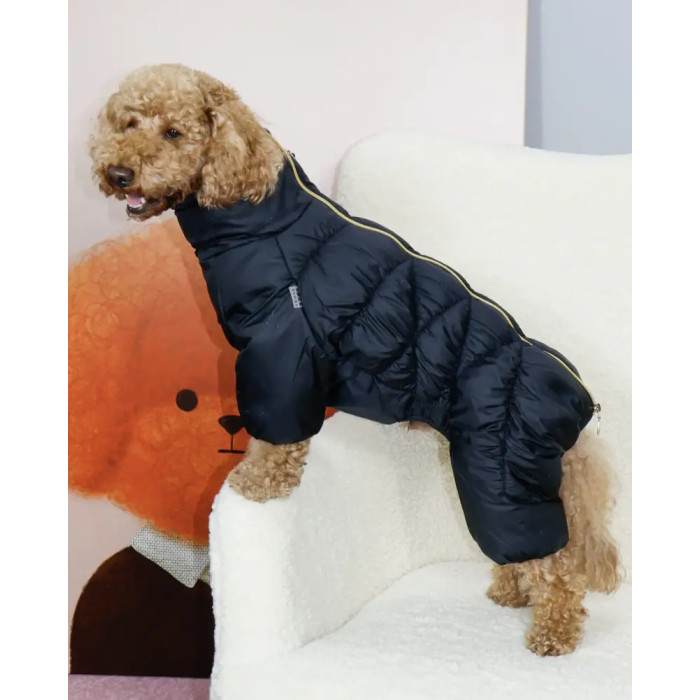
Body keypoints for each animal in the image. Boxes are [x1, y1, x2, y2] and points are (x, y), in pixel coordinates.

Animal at [89, 63, 621, 656]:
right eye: (127, 123)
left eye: (174, 133)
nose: (118, 173)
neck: (260, 210)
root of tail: (580, 405)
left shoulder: (280, 352)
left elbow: (275, 439)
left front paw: (256, 483)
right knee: (533, 555)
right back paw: (511, 592)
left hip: (499, 475)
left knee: (558, 564)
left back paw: (553, 633)